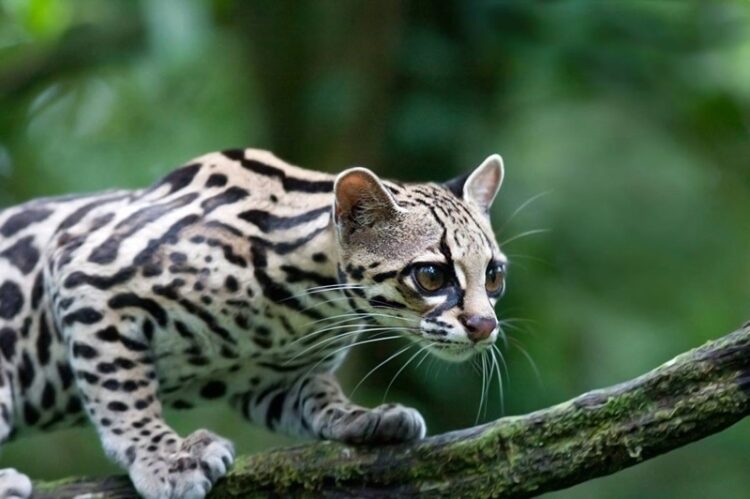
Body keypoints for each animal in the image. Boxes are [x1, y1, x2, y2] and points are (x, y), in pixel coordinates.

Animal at [0, 148, 507, 498]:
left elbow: (317, 394)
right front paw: (166, 456)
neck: (308, 305)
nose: (484, 325)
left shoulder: (271, 379)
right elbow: (122, 392)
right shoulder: (85, 274)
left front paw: (360, 415)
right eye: (431, 275)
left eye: (494, 275)